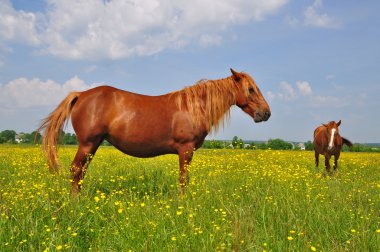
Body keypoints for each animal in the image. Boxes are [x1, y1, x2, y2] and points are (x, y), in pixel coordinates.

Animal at [37, 68, 270, 193]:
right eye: (250, 89)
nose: (266, 113)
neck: (193, 107)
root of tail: (81, 94)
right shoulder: (186, 150)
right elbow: (183, 178)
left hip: (91, 145)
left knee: (81, 171)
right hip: (88, 143)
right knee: (76, 170)